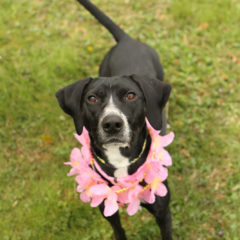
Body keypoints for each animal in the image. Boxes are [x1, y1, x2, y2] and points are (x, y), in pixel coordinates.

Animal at [55, 0, 172, 239]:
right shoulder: (107, 211)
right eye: (91, 98)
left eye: (131, 95)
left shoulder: (163, 212)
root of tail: (127, 40)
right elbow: (118, 230)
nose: (112, 124)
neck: (120, 160)